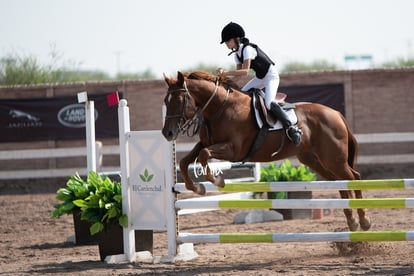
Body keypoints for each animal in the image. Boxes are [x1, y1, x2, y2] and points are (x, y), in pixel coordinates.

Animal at [162, 70, 372, 232]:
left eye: (179, 100)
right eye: (166, 100)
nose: (167, 133)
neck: (219, 108)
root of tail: (336, 113)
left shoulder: (233, 150)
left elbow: (204, 155)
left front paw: (218, 181)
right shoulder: (206, 143)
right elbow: (186, 160)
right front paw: (197, 187)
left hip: (333, 159)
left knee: (354, 178)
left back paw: (364, 221)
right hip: (315, 160)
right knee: (341, 182)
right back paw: (352, 222)